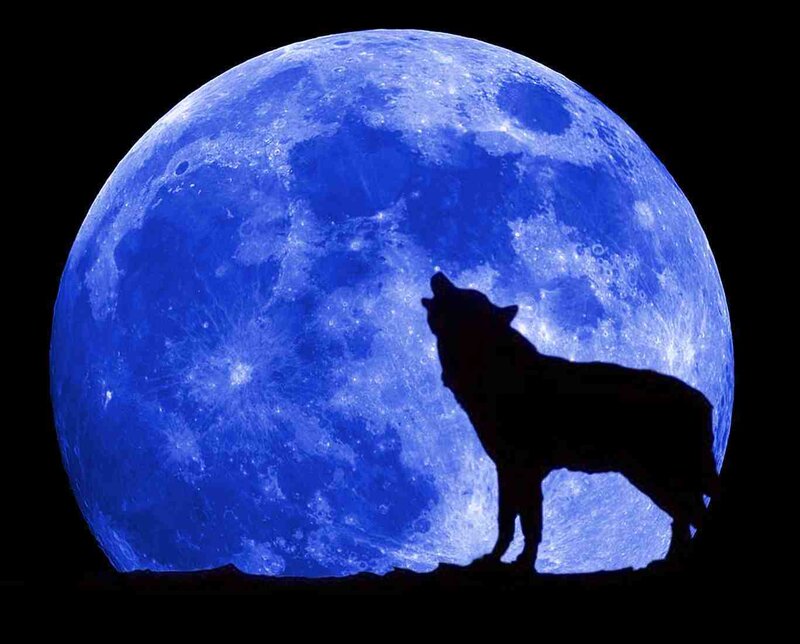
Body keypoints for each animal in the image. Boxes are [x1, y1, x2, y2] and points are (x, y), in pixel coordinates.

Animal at [421, 272, 719, 569]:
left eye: (465, 293)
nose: (438, 274)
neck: (491, 367)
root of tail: (705, 402)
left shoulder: (520, 469)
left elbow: (522, 525)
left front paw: (517, 563)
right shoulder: (513, 470)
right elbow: (516, 523)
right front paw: (505, 559)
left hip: (654, 478)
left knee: (692, 517)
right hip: (657, 480)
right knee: (683, 519)